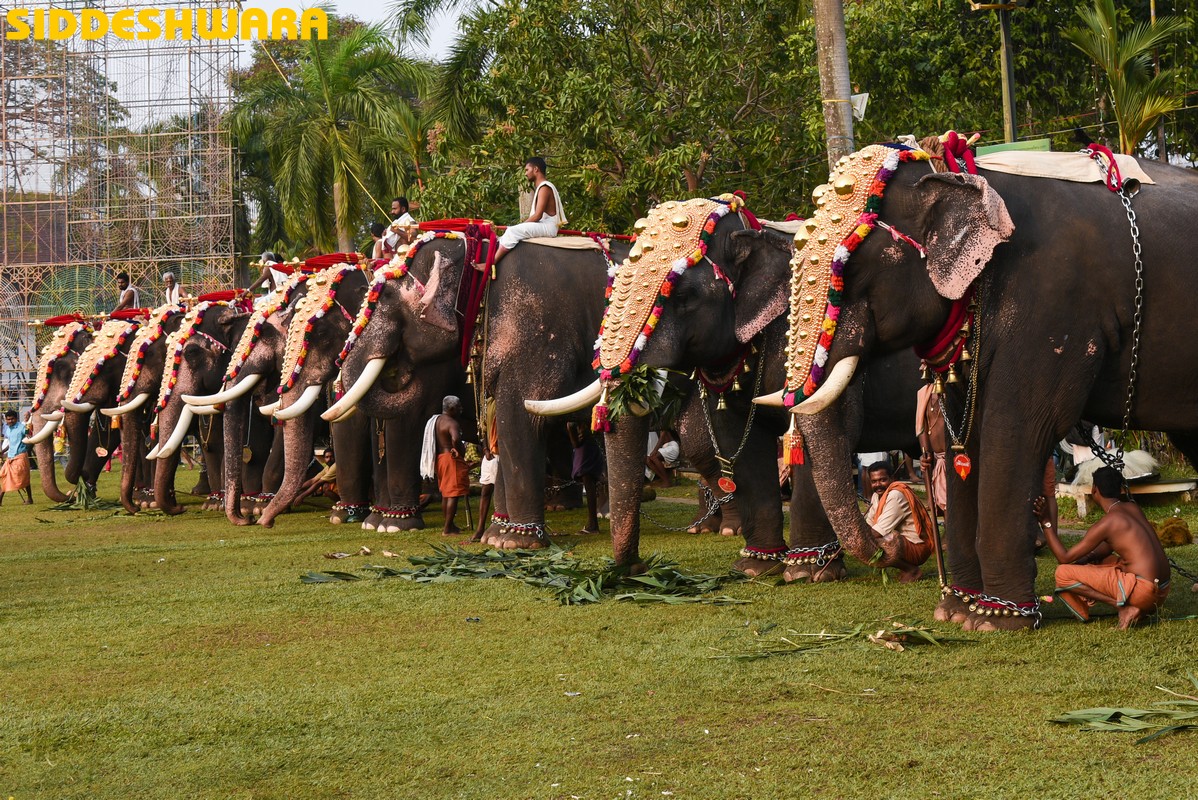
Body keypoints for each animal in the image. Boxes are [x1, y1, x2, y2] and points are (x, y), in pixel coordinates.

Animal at [761, 141, 1198, 632]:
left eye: (848, 272)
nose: (888, 549)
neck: (959, 173)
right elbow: (964, 441)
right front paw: (957, 611)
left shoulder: (1052, 308)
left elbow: (1017, 427)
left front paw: (995, 620)